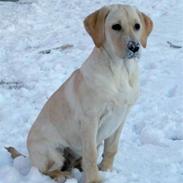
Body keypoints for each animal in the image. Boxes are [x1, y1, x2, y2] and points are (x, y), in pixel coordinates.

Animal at [6, 4, 153, 183]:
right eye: (116, 27)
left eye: (137, 26)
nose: (134, 47)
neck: (121, 72)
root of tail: (28, 156)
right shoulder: (90, 120)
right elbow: (90, 154)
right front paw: (95, 179)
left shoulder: (120, 118)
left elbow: (111, 149)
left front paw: (106, 170)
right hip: (53, 152)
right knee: (47, 170)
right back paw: (62, 175)